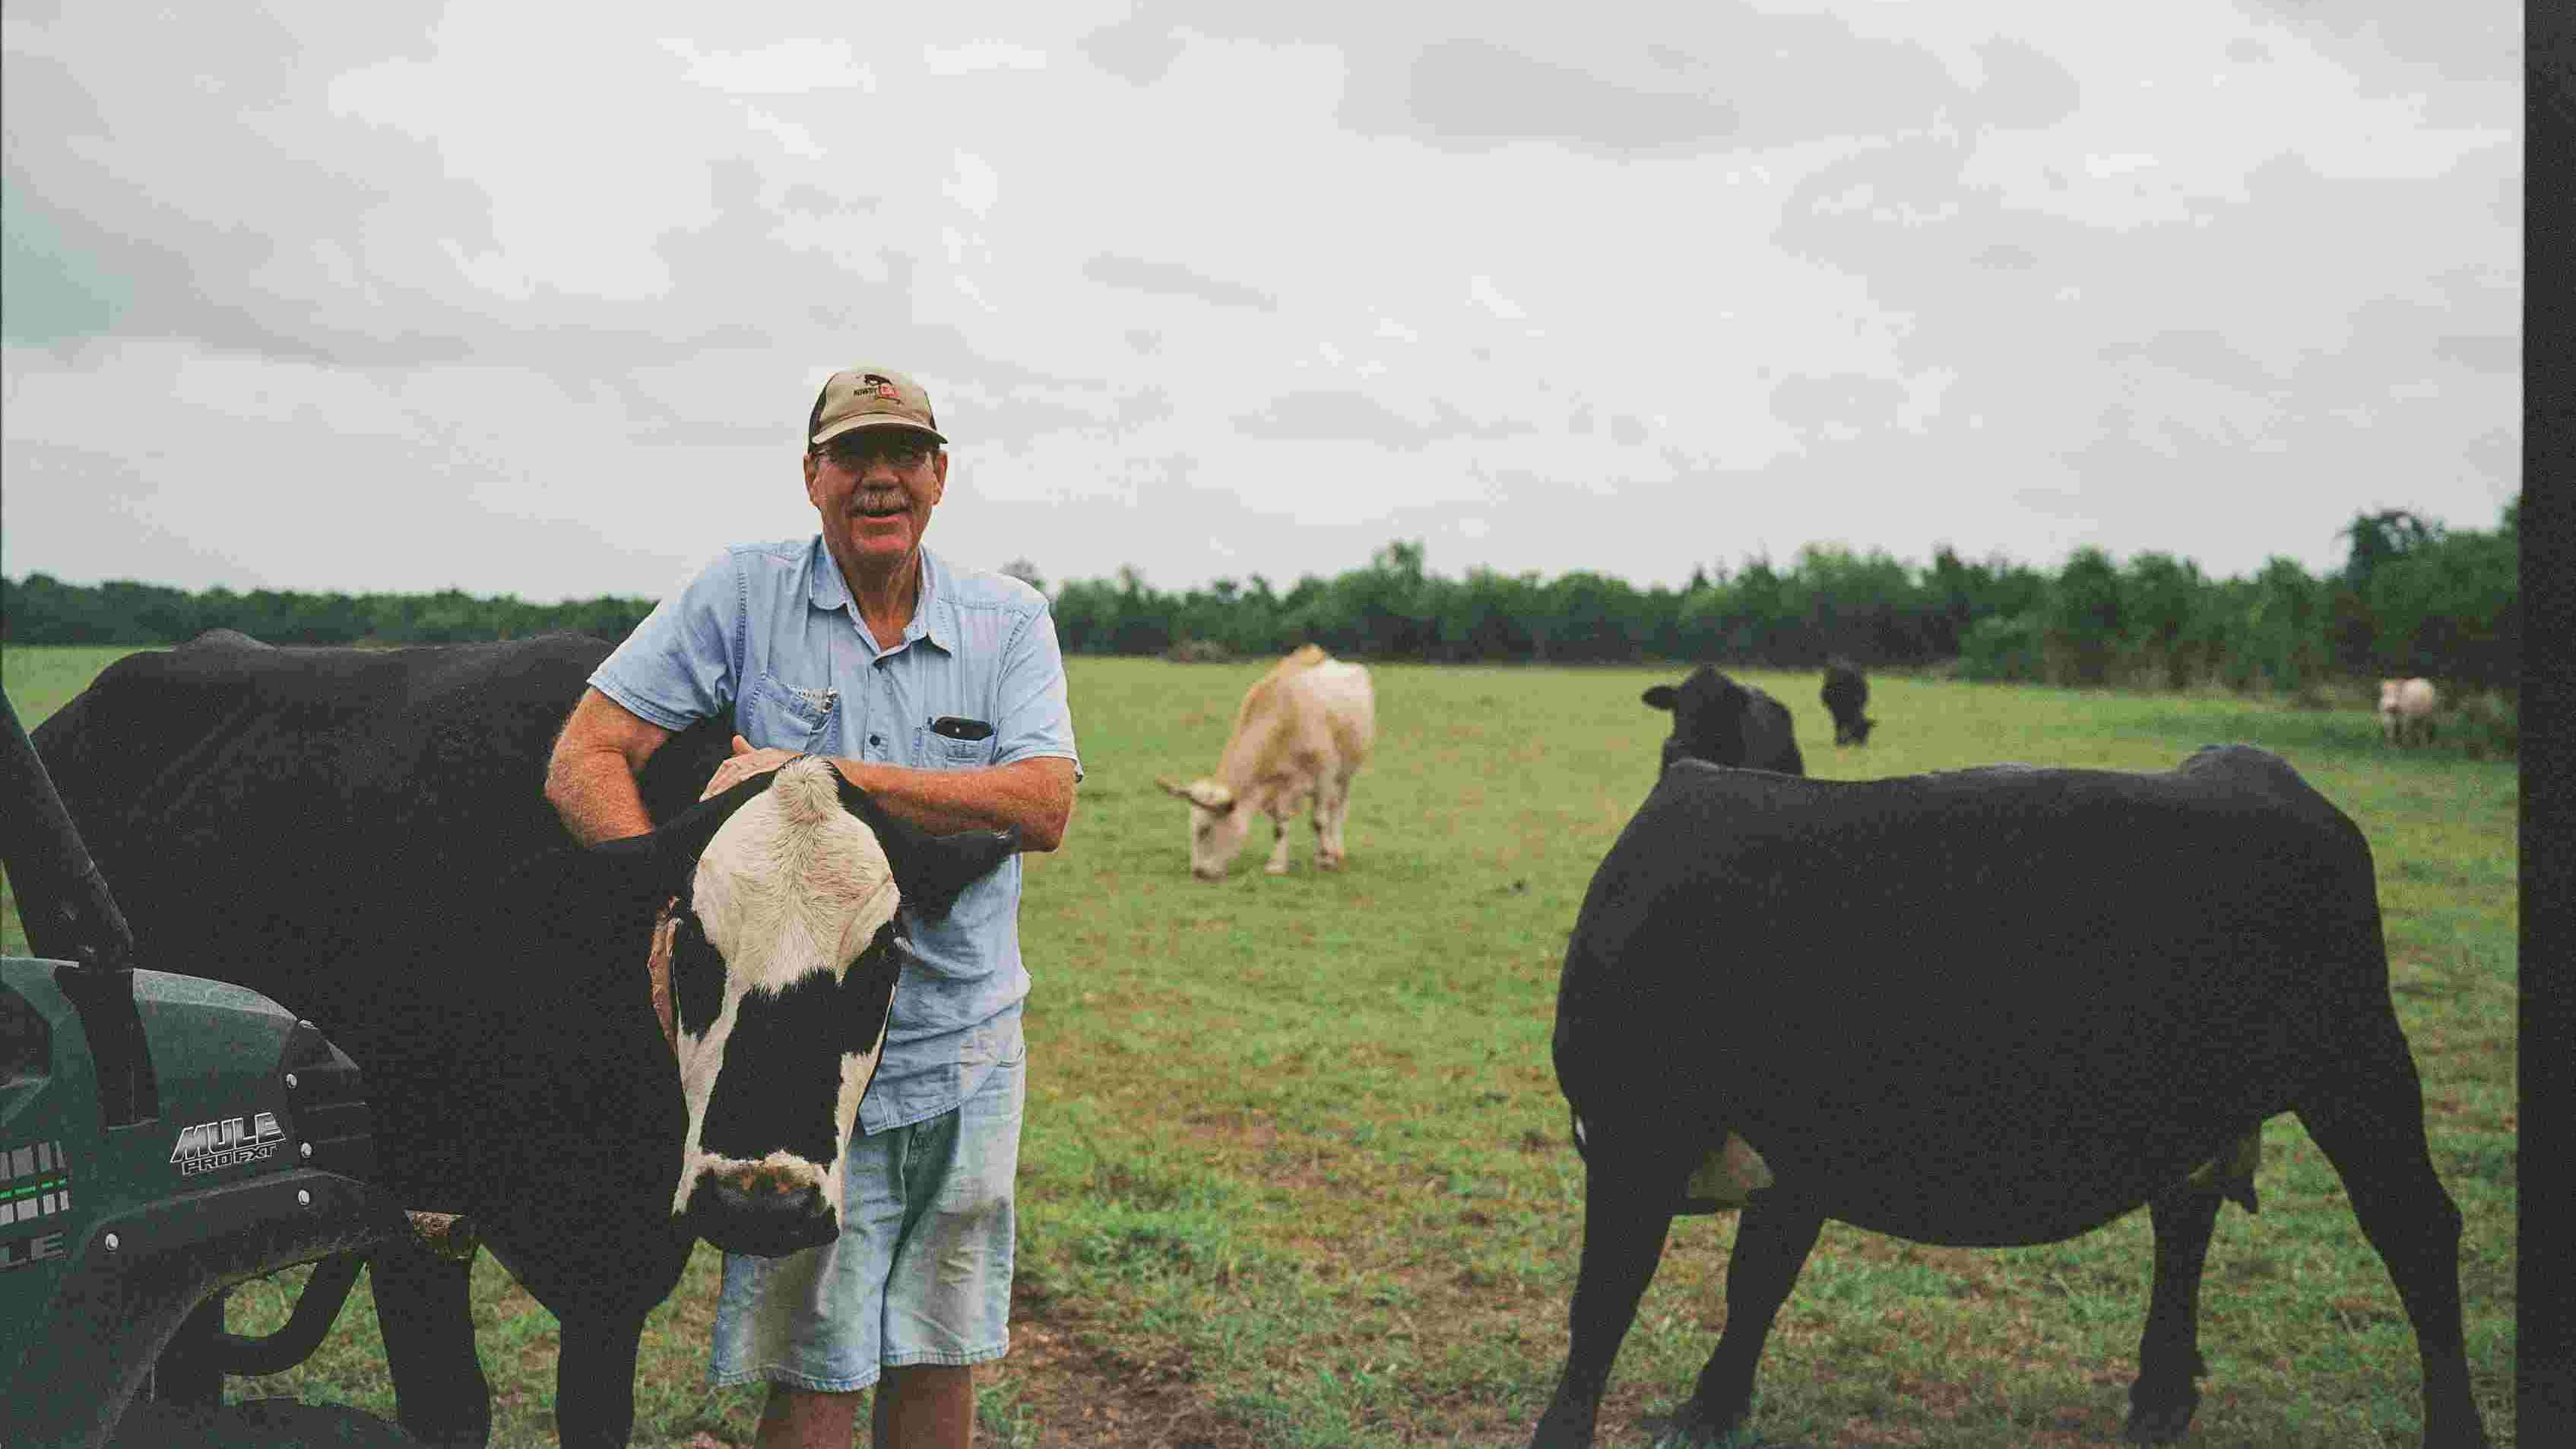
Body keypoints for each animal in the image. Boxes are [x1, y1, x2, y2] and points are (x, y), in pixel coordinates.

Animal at [30, 631, 1020, 1444]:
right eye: (693, 939)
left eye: (884, 954)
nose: (760, 1201)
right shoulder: (414, 1217)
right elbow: (450, 1410)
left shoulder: (617, 1270)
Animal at [1159, 644, 1380, 877]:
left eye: (1205, 829)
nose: (1198, 872)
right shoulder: (1278, 785)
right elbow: (1280, 826)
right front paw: (1277, 865)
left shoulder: (1324, 774)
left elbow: (1318, 821)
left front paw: (1326, 859)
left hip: (1346, 772)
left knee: (1337, 808)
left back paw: (1335, 850)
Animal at [1535, 742, 2483, 1444]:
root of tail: (2249, 766)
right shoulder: (1795, 1151)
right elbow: (1752, 1284)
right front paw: (1710, 1412)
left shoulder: (1635, 1133)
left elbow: (1601, 1306)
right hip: (2201, 1099)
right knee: (2184, 1221)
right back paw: (2158, 1399)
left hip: (2358, 1067)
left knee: (2416, 1232)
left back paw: (2454, 1427)